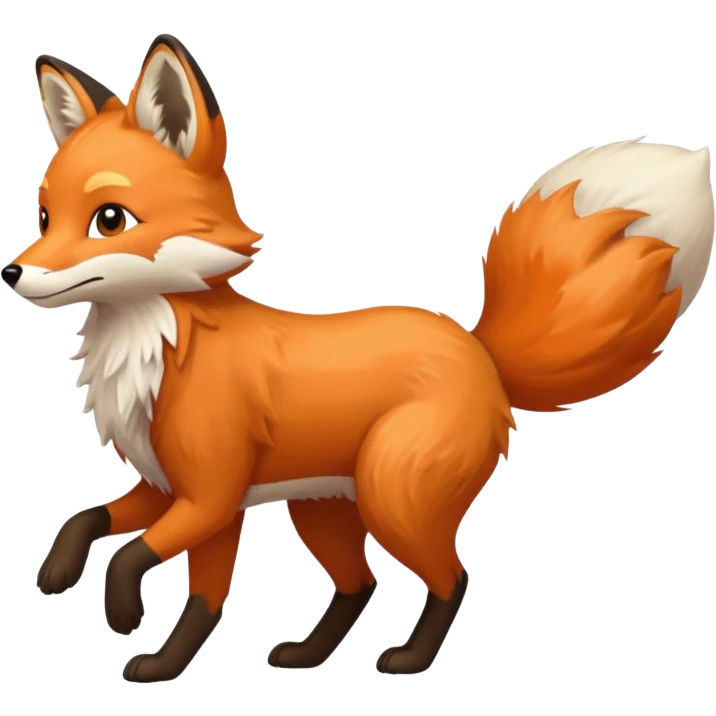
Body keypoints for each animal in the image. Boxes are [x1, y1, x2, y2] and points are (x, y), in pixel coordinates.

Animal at [10, 34, 715, 683]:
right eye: (44, 217)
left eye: (109, 220)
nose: (10, 272)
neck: (155, 349)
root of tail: (477, 348)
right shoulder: (167, 487)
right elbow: (91, 522)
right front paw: (63, 576)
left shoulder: (210, 497)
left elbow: (151, 569)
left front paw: (135, 629)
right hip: (323, 509)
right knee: (361, 583)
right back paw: (308, 655)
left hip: (392, 498)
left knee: (452, 577)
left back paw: (409, 660)